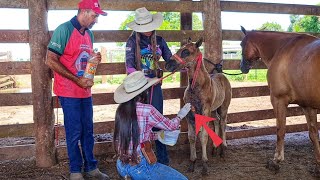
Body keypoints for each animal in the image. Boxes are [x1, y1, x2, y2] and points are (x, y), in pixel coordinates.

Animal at [165, 38, 232, 174]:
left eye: (186, 51)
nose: (168, 64)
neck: (197, 87)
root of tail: (222, 76)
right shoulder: (190, 114)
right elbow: (192, 137)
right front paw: (192, 163)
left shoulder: (204, 111)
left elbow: (203, 136)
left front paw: (204, 165)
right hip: (213, 110)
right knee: (216, 121)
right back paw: (214, 149)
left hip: (223, 107)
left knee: (223, 123)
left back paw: (223, 150)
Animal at [240, 26, 320, 174]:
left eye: (242, 44)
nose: (242, 67)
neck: (281, 48)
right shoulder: (308, 106)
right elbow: (313, 134)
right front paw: (318, 164)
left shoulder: (278, 100)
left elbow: (280, 130)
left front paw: (276, 160)